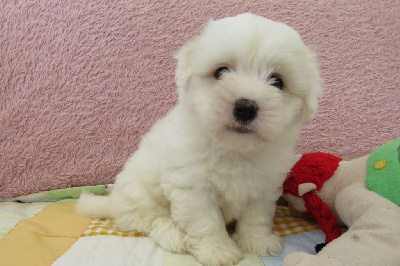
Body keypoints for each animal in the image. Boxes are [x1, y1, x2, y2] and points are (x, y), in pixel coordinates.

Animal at [76, 13, 324, 264]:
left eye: (277, 81)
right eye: (221, 72)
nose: (245, 107)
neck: (234, 149)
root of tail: (113, 200)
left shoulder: (264, 186)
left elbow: (257, 216)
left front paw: (257, 241)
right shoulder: (193, 189)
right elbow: (208, 222)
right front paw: (218, 251)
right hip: (141, 195)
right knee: (152, 220)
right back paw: (174, 236)